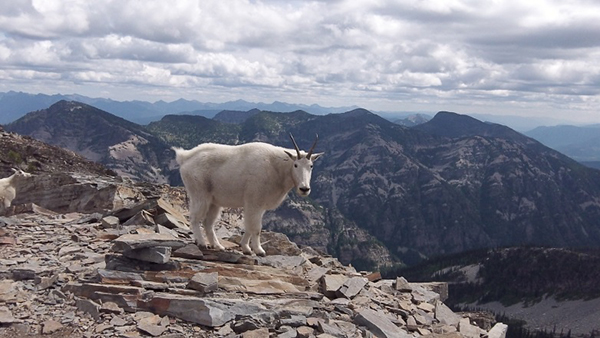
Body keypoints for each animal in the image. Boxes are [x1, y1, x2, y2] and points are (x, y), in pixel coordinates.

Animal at [173, 133, 324, 255]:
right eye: (296, 165)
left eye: (311, 166)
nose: (304, 189)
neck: (277, 168)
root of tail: (185, 158)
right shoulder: (254, 202)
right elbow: (256, 228)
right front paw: (259, 250)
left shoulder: (259, 206)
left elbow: (249, 227)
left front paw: (246, 248)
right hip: (200, 194)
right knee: (194, 218)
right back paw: (202, 243)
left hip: (214, 202)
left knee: (208, 223)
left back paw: (218, 246)